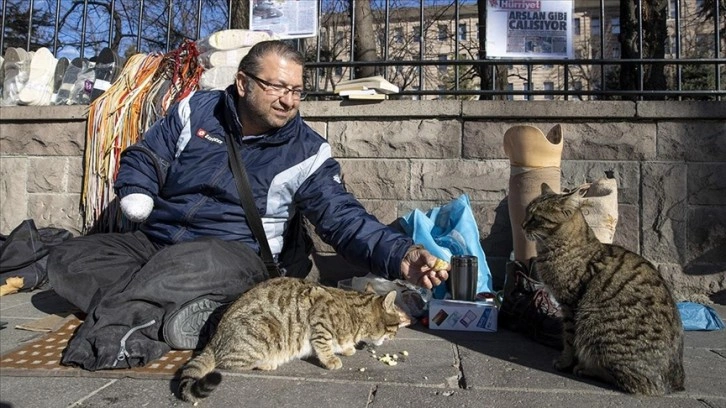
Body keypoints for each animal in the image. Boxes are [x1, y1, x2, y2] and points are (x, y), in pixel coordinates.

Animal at [180, 278, 412, 402]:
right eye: (397, 324)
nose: (397, 334)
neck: (355, 314)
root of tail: (213, 340)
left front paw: (346, 348)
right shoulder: (319, 322)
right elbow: (323, 346)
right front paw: (332, 359)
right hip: (263, 332)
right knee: (229, 363)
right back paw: (266, 364)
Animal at [524, 183, 688, 394]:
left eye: (535, 217)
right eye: (527, 212)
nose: (522, 224)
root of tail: (675, 382)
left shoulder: (569, 304)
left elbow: (569, 339)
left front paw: (565, 362)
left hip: (594, 325)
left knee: (632, 382)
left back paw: (586, 369)